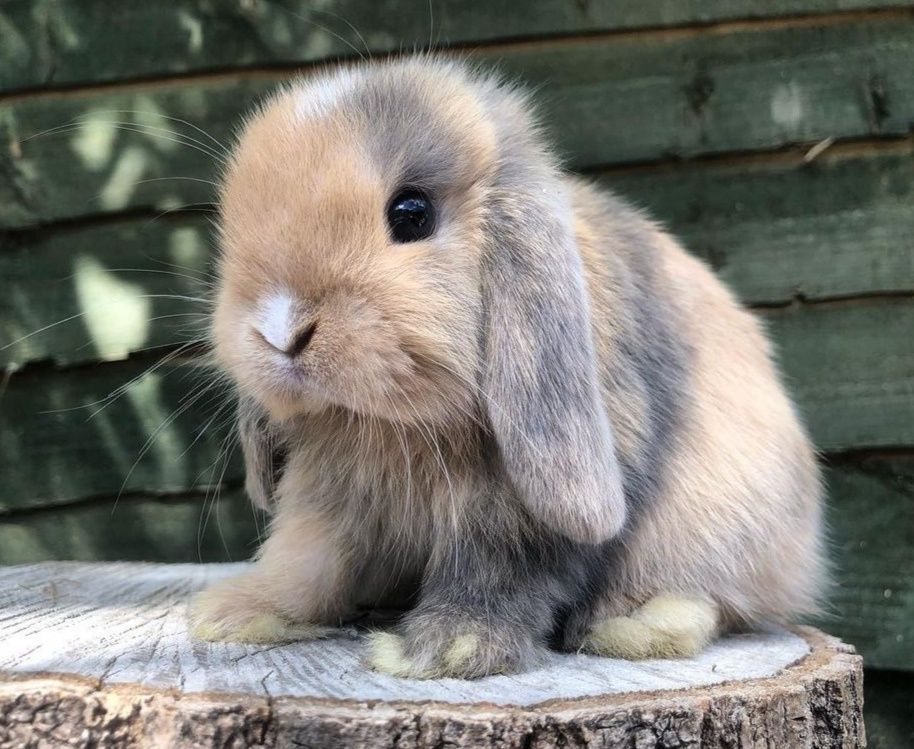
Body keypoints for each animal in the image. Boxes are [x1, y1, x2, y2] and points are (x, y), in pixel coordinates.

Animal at [189, 57, 824, 676]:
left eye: (411, 214)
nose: (278, 330)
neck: (393, 426)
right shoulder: (327, 497)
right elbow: (306, 560)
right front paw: (235, 613)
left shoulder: (518, 516)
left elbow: (501, 573)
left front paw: (440, 650)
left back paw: (636, 625)